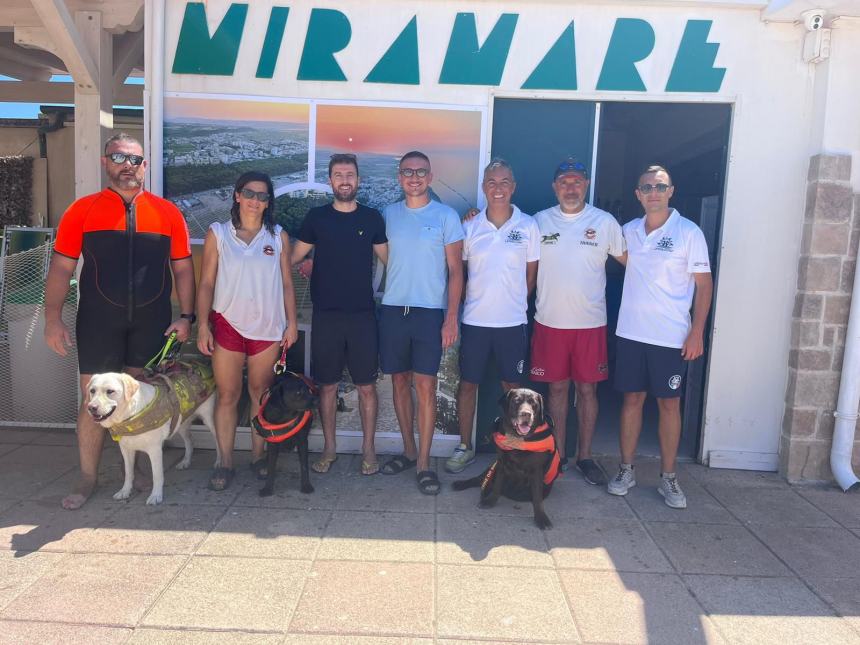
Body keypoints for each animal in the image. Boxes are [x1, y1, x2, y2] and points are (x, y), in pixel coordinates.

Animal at [86, 362, 218, 504]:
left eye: (110, 391)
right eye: (92, 391)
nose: (91, 408)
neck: (130, 415)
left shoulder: (155, 450)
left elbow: (157, 475)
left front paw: (156, 495)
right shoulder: (126, 449)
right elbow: (128, 472)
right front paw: (125, 491)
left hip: (209, 420)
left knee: (218, 441)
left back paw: (219, 462)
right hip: (181, 422)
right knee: (190, 441)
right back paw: (185, 461)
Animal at [454, 388, 560, 528]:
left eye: (534, 403)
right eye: (516, 401)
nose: (526, 414)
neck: (518, 439)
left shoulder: (536, 470)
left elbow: (537, 497)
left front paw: (541, 518)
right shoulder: (501, 463)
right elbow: (497, 485)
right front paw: (490, 501)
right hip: (491, 467)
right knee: (478, 480)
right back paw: (460, 484)